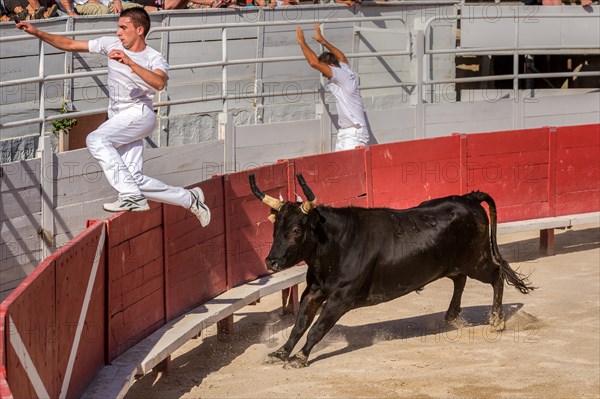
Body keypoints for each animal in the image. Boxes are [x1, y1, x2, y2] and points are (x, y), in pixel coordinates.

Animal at [248, 173, 536, 368]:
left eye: (297, 230)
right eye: (275, 229)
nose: (272, 262)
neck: (336, 243)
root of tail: (468, 198)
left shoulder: (341, 298)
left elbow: (317, 327)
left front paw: (299, 357)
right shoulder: (313, 291)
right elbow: (299, 325)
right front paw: (280, 353)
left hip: (477, 260)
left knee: (496, 275)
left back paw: (496, 321)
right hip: (457, 262)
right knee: (460, 279)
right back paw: (452, 316)